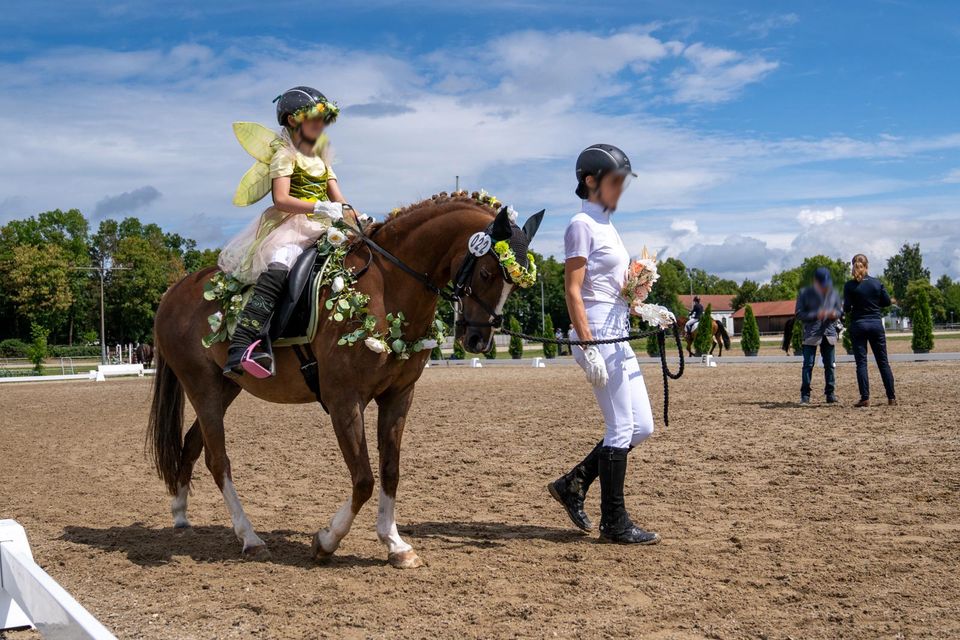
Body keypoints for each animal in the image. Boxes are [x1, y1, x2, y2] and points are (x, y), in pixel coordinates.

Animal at [147, 192, 544, 568]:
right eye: (488, 273)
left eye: (516, 286)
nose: (478, 340)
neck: (388, 286)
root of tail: (174, 291)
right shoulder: (344, 400)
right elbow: (364, 479)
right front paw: (327, 541)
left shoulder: (399, 396)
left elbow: (389, 471)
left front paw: (396, 545)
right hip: (202, 386)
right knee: (218, 461)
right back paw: (250, 538)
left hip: (225, 386)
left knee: (191, 445)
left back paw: (181, 516)